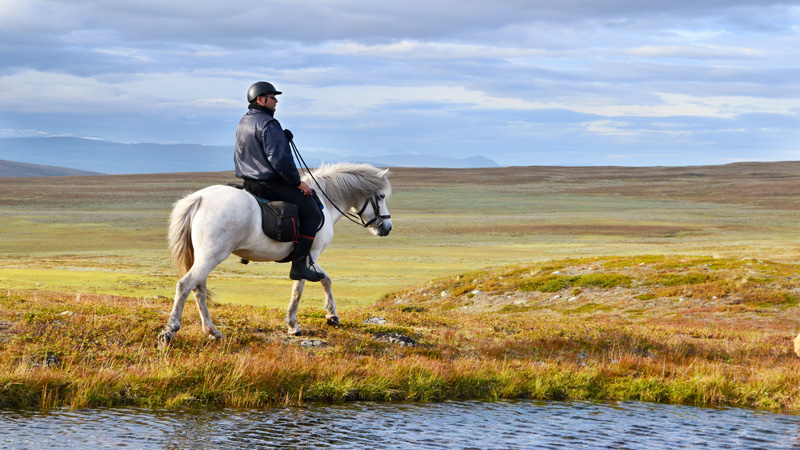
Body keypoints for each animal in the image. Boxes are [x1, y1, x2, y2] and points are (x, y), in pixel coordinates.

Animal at [158, 163, 392, 344]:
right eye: (381, 196)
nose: (387, 228)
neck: (325, 203)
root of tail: (199, 199)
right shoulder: (309, 256)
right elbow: (300, 288)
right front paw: (294, 325)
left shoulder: (309, 259)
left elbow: (326, 279)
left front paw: (332, 315)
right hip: (211, 256)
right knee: (185, 285)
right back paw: (170, 331)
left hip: (204, 257)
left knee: (199, 288)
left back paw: (212, 331)